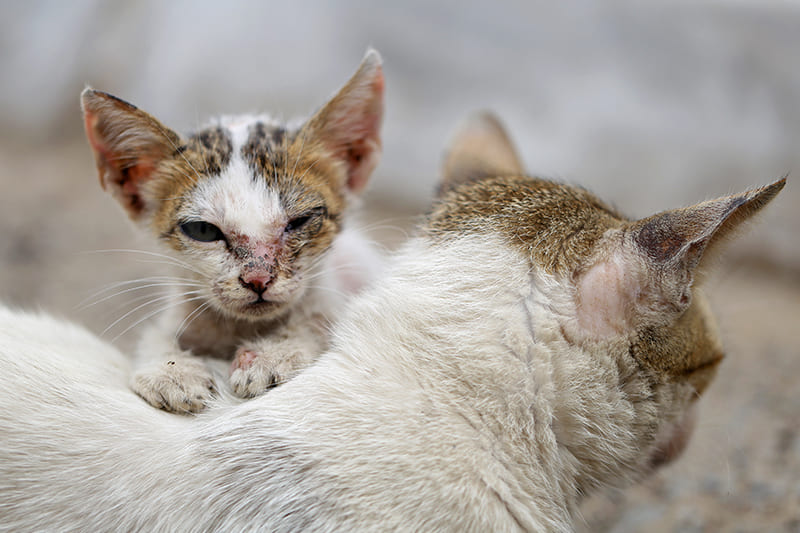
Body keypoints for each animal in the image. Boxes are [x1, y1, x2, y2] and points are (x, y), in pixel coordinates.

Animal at [80, 50, 384, 412]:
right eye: (203, 230)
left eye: (298, 221)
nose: (258, 279)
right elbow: (156, 334)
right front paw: (170, 371)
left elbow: (322, 320)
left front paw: (272, 355)